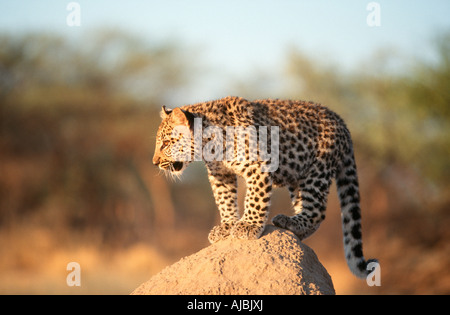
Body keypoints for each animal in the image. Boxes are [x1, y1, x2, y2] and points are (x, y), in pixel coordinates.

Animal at [153, 95, 378, 278]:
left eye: (166, 143)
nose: (155, 162)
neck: (209, 144)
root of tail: (341, 122)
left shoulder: (258, 167)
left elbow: (255, 199)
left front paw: (248, 226)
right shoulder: (220, 174)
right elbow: (225, 201)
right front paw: (227, 226)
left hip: (317, 171)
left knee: (317, 211)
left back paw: (291, 223)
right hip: (298, 176)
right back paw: (292, 228)